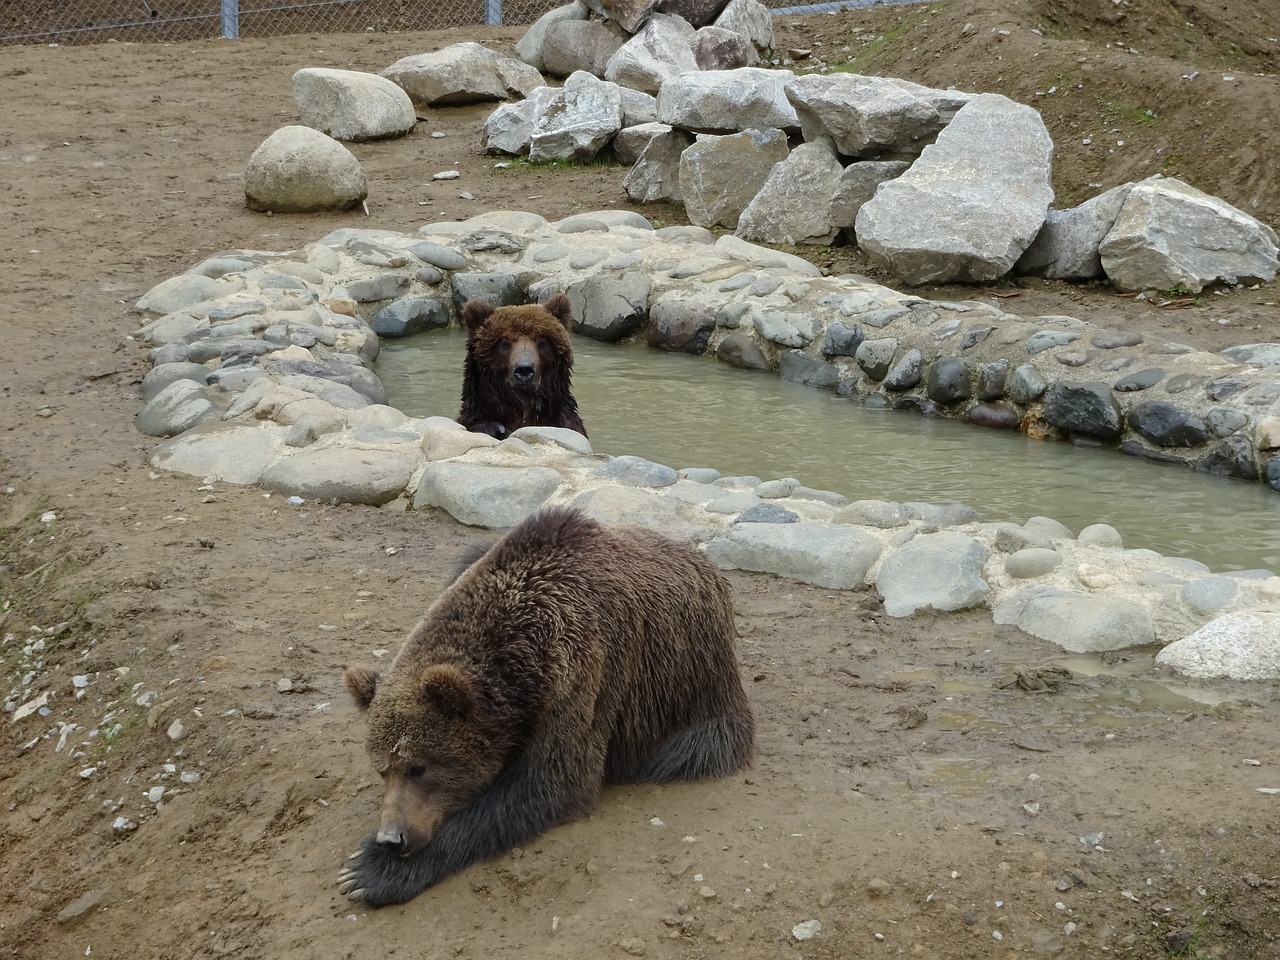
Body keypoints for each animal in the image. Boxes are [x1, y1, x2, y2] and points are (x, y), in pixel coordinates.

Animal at [343, 506, 757, 906]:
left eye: (419, 767)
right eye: (382, 769)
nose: (392, 839)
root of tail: (707, 565)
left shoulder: (584, 667)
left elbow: (554, 780)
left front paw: (367, 872)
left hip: (696, 685)